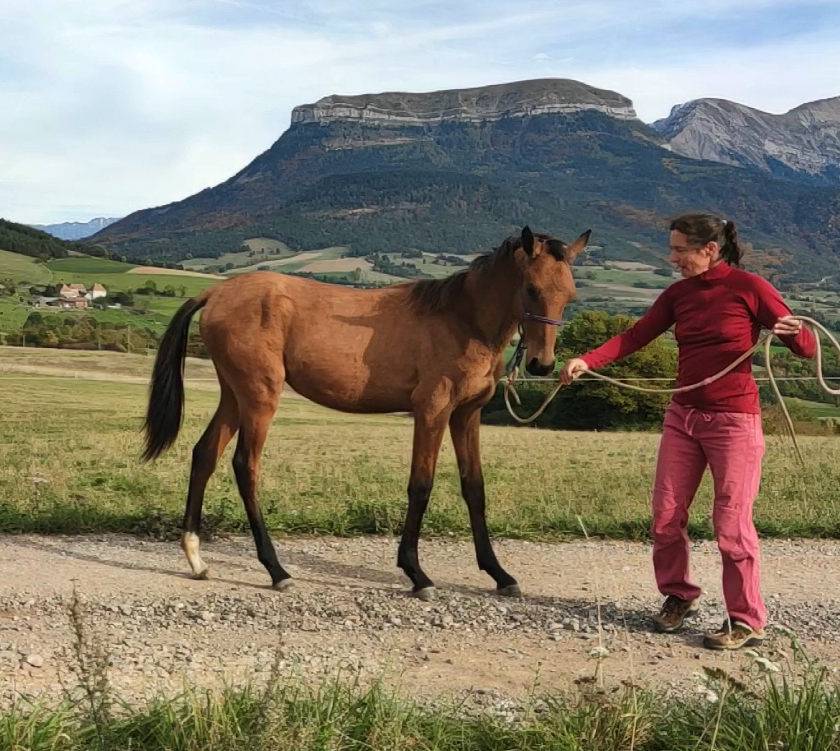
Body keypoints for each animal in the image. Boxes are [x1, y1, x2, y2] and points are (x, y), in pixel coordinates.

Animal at [143, 226, 589, 599]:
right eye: (531, 288)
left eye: (569, 296)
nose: (542, 365)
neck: (461, 320)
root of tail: (217, 294)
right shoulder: (432, 412)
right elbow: (421, 486)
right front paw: (416, 573)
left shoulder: (466, 416)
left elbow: (474, 489)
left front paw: (499, 574)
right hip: (259, 397)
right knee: (244, 466)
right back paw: (276, 569)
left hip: (234, 396)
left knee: (204, 455)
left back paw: (196, 557)